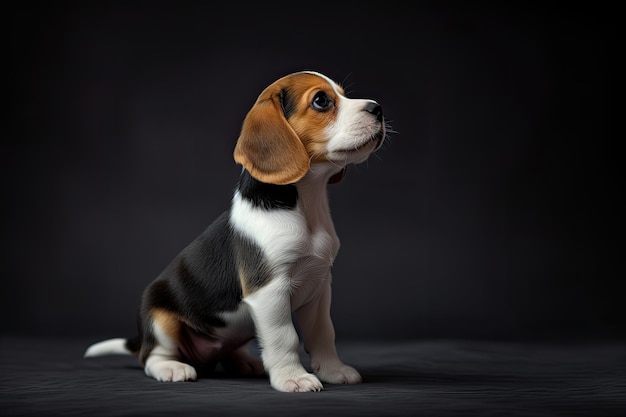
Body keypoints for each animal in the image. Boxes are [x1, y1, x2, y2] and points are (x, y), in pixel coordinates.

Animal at [84, 70, 386, 392]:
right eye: (321, 101)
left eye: (343, 94)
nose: (378, 108)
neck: (305, 205)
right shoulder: (269, 291)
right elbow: (285, 337)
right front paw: (292, 378)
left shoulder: (319, 287)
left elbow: (323, 334)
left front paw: (333, 370)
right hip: (160, 319)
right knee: (152, 356)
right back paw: (172, 367)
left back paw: (245, 362)